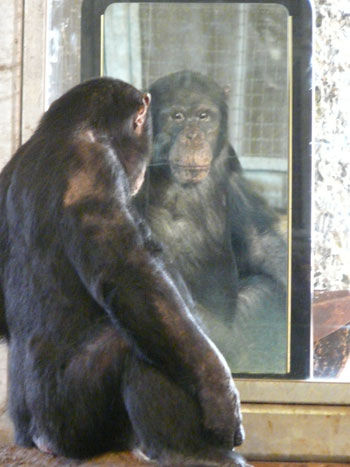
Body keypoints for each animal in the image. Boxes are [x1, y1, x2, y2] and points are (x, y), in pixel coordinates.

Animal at [0, 78, 246, 466]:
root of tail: (36, 441)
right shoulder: (92, 170)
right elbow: (131, 279)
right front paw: (218, 388)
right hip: (69, 421)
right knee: (141, 339)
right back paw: (196, 454)